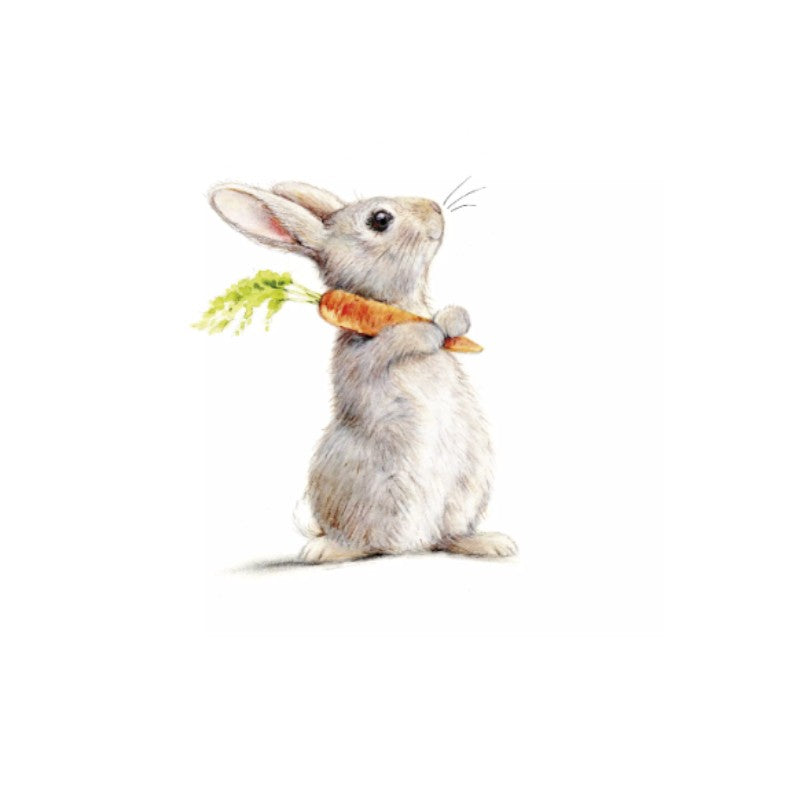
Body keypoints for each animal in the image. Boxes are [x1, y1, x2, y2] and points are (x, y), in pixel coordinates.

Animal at [210, 181, 517, 562]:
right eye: (380, 219)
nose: (435, 208)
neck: (394, 305)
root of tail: (411, 544)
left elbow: (451, 319)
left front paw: (451, 320)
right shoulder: (360, 356)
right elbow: (391, 342)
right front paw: (427, 332)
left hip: (465, 489)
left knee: (446, 536)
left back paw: (492, 543)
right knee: (361, 542)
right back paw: (321, 550)